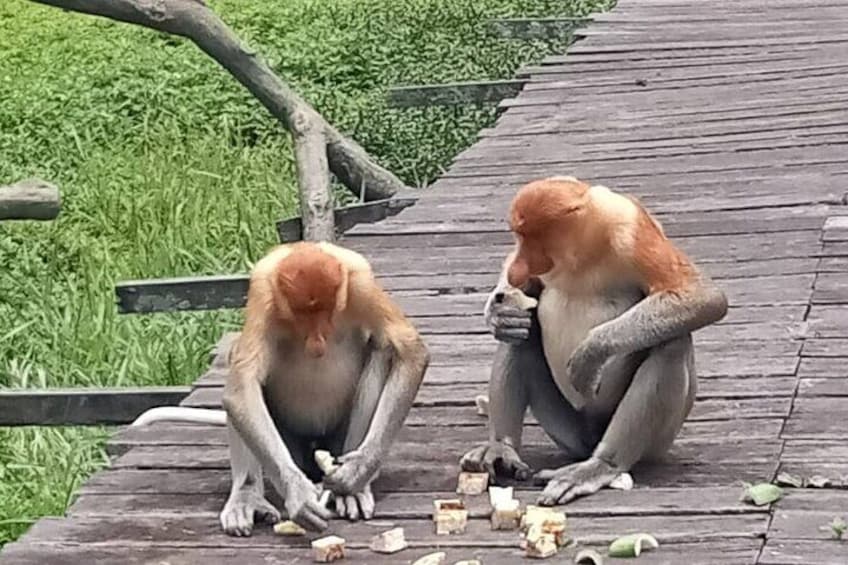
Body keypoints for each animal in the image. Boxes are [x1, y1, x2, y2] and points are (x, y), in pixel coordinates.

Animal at [135, 241, 428, 532]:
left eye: (326, 312)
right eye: (302, 315)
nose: (316, 344)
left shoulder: (360, 281)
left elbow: (410, 350)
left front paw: (357, 472)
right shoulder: (263, 291)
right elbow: (241, 386)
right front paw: (298, 495)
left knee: (383, 349)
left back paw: (353, 490)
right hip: (289, 439)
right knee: (239, 363)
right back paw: (247, 498)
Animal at [460, 175, 724, 502]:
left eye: (532, 236)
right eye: (518, 236)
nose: (517, 270)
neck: (581, 250)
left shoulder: (630, 230)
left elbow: (703, 296)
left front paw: (590, 354)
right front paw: (499, 312)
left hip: (658, 442)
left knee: (672, 342)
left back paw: (601, 465)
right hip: (566, 430)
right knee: (522, 336)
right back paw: (500, 448)